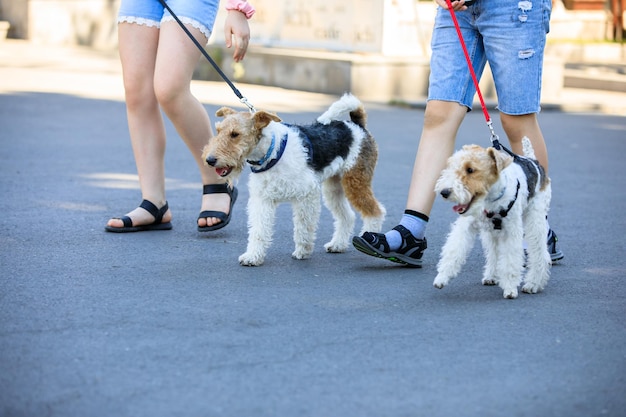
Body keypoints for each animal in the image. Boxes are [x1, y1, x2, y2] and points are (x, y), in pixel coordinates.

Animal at [202, 92, 382, 264]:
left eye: (235, 134)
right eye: (218, 131)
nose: (210, 160)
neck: (272, 151)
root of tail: (357, 126)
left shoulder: (306, 194)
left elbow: (303, 226)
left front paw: (303, 251)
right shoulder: (262, 199)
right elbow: (258, 230)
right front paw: (253, 256)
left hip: (355, 181)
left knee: (375, 211)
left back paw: (369, 241)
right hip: (334, 187)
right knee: (347, 216)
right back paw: (337, 244)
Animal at [432, 138, 548, 298]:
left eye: (470, 169)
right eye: (452, 166)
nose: (444, 192)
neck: (490, 199)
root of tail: (532, 160)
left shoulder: (511, 231)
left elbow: (510, 260)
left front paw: (510, 289)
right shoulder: (466, 225)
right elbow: (454, 249)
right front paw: (441, 278)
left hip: (535, 220)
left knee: (540, 252)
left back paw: (533, 284)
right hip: (491, 233)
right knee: (494, 253)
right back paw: (491, 276)